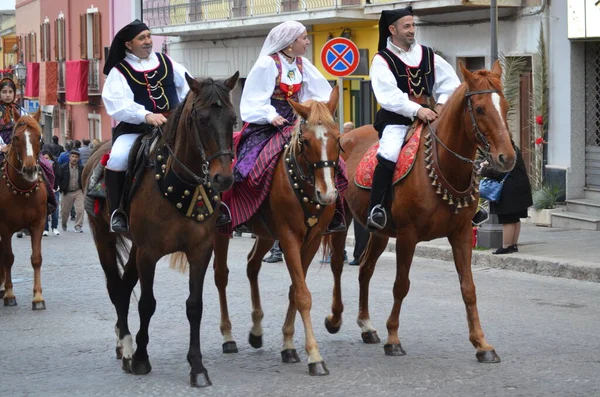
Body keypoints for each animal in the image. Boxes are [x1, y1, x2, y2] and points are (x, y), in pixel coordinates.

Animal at [82, 72, 241, 388]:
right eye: (201, 119)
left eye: (233, 119)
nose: (223, 178)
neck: (178, 181)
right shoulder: (149, 252)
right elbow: (147, 303)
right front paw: (141, 358)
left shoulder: (200, 251)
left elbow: (194, 306)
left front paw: (197, 367)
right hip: (104, 237)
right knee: (115, 287)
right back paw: (127, 346)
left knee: (124, 286)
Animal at [210, 89, 342, 374]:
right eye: (306, 141)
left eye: (337, 138)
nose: (327, 194)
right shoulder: (289, 238)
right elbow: (302, 294)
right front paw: (314, 356)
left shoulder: (312, 240)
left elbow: (295, 289)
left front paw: (289, 345)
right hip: (222, 231)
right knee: (220, 275)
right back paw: (227, 336)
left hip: (265, 233)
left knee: (252, 265)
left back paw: (256, 330)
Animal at [324, 61, 516, 362]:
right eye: (480, 109)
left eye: (506, 106)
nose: (506, 158)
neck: (442, 165)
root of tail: (345, 135)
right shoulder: (407, 236)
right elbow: (401, 284)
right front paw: (393, 339)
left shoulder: (461, 234)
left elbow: (469, 288)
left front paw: (482, 344)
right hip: (343, 222)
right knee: (336, 265)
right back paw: (335, 319)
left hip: (378, 231)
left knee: (365, 269)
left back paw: (367, 326)